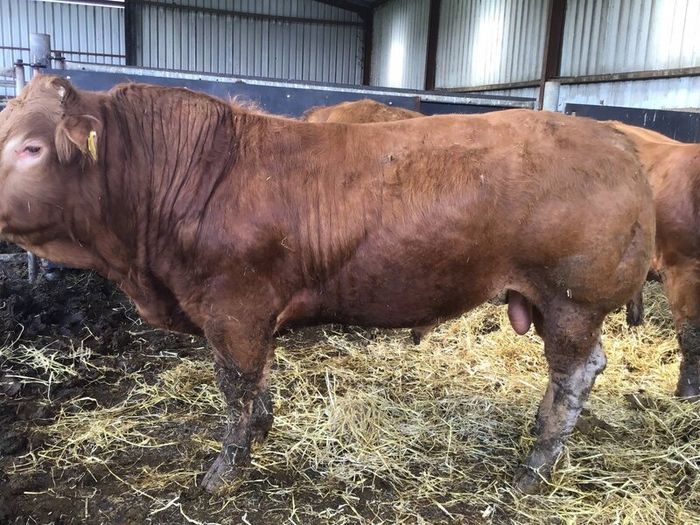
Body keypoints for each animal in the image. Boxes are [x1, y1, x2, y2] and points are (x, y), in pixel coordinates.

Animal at [0, 76, 654, 493]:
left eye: (32, 147)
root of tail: (615, 137)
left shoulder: (232, 309)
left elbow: (235, 386)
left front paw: (224, 470)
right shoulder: (248, 316)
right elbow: (257, 382)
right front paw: (261, 431)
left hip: (572, 301)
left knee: (572, 376)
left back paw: (534, 469)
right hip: (550, 303)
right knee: (583, 368)